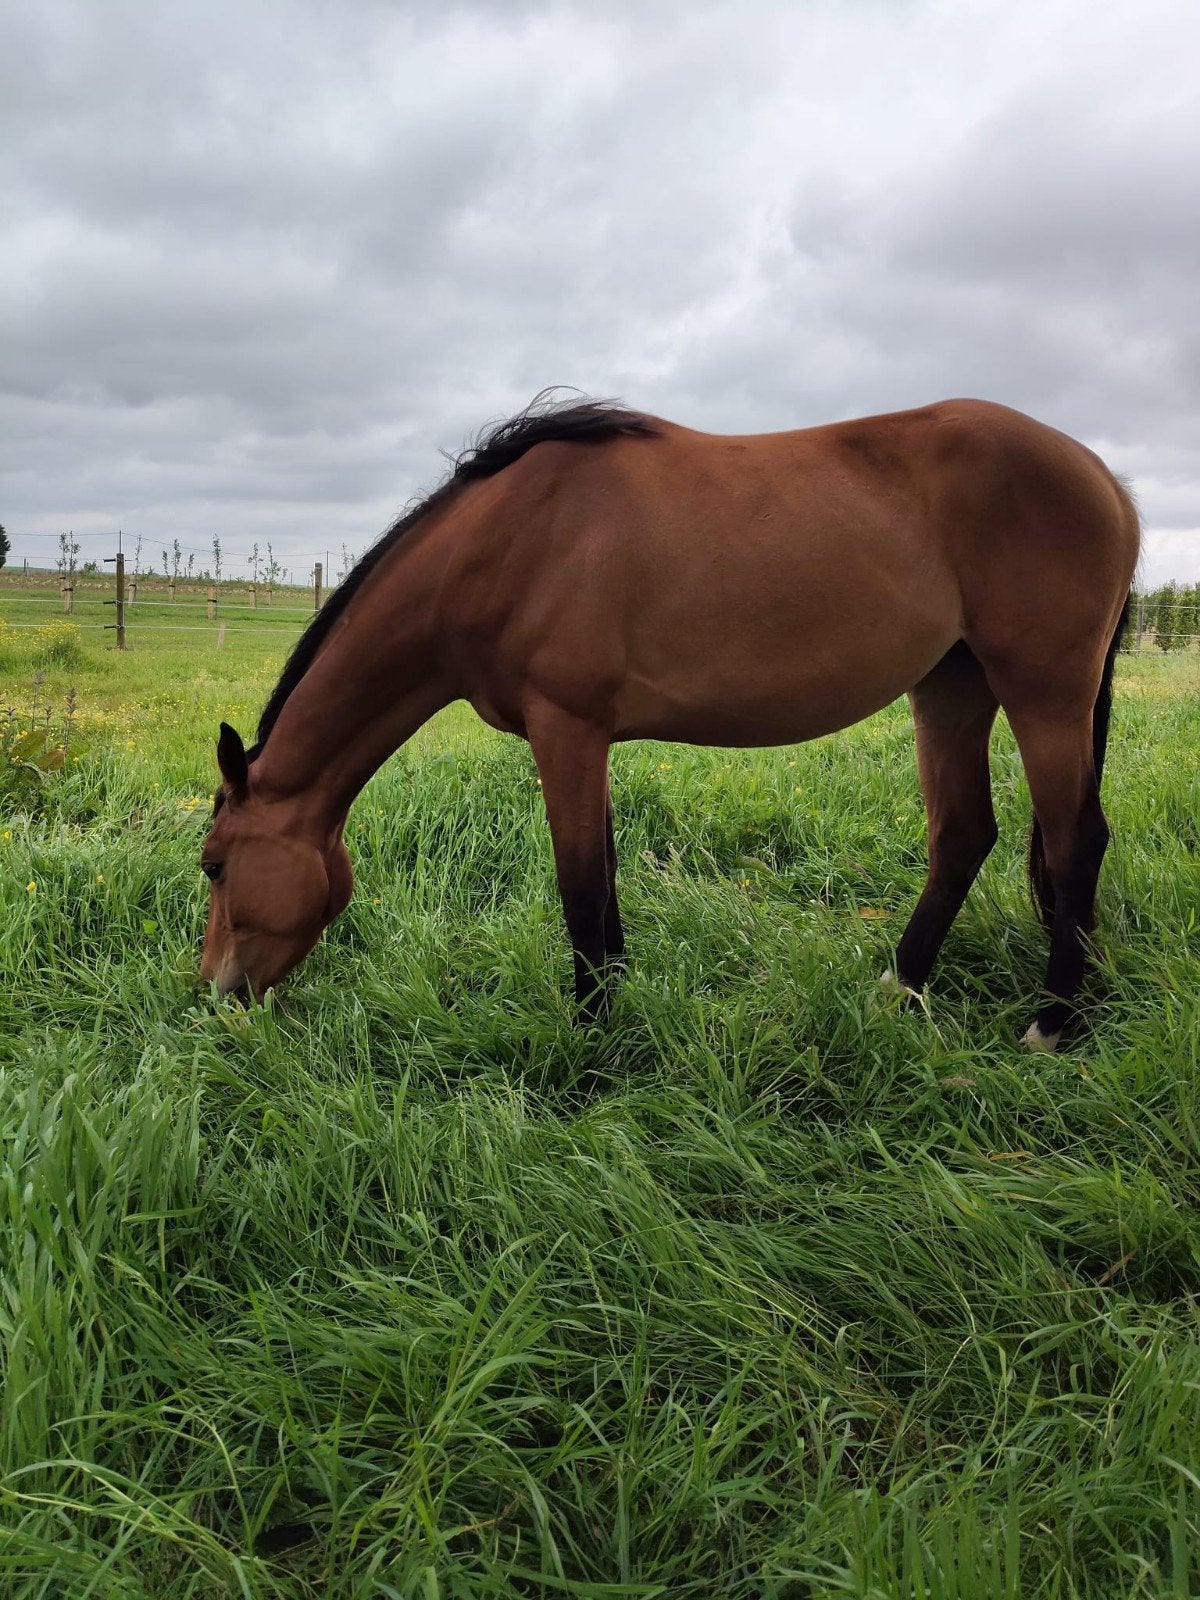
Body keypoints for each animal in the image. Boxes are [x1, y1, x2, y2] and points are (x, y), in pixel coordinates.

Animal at [200, 395, 1139, 1049]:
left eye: (213, 866)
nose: (217, 991)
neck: (504, 543)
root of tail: (1106, 480)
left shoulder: (567, 730)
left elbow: (581, 890)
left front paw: (589, 1042)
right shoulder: (591, 741)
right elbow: (606, 884)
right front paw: (614, 1007)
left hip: (1042, 691)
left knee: (1074, 843)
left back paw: (1052, 1023)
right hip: (951, 686)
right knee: (963, 836)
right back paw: (896, 990)